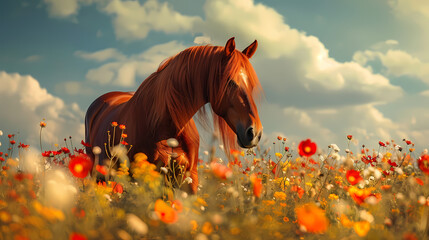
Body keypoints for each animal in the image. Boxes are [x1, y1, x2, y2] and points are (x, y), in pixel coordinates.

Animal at [84, 36, 260, 192]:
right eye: (230, 82)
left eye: (252, 86)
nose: (255, 133)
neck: (165, 124)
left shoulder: (189, 177)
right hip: (100, 175)